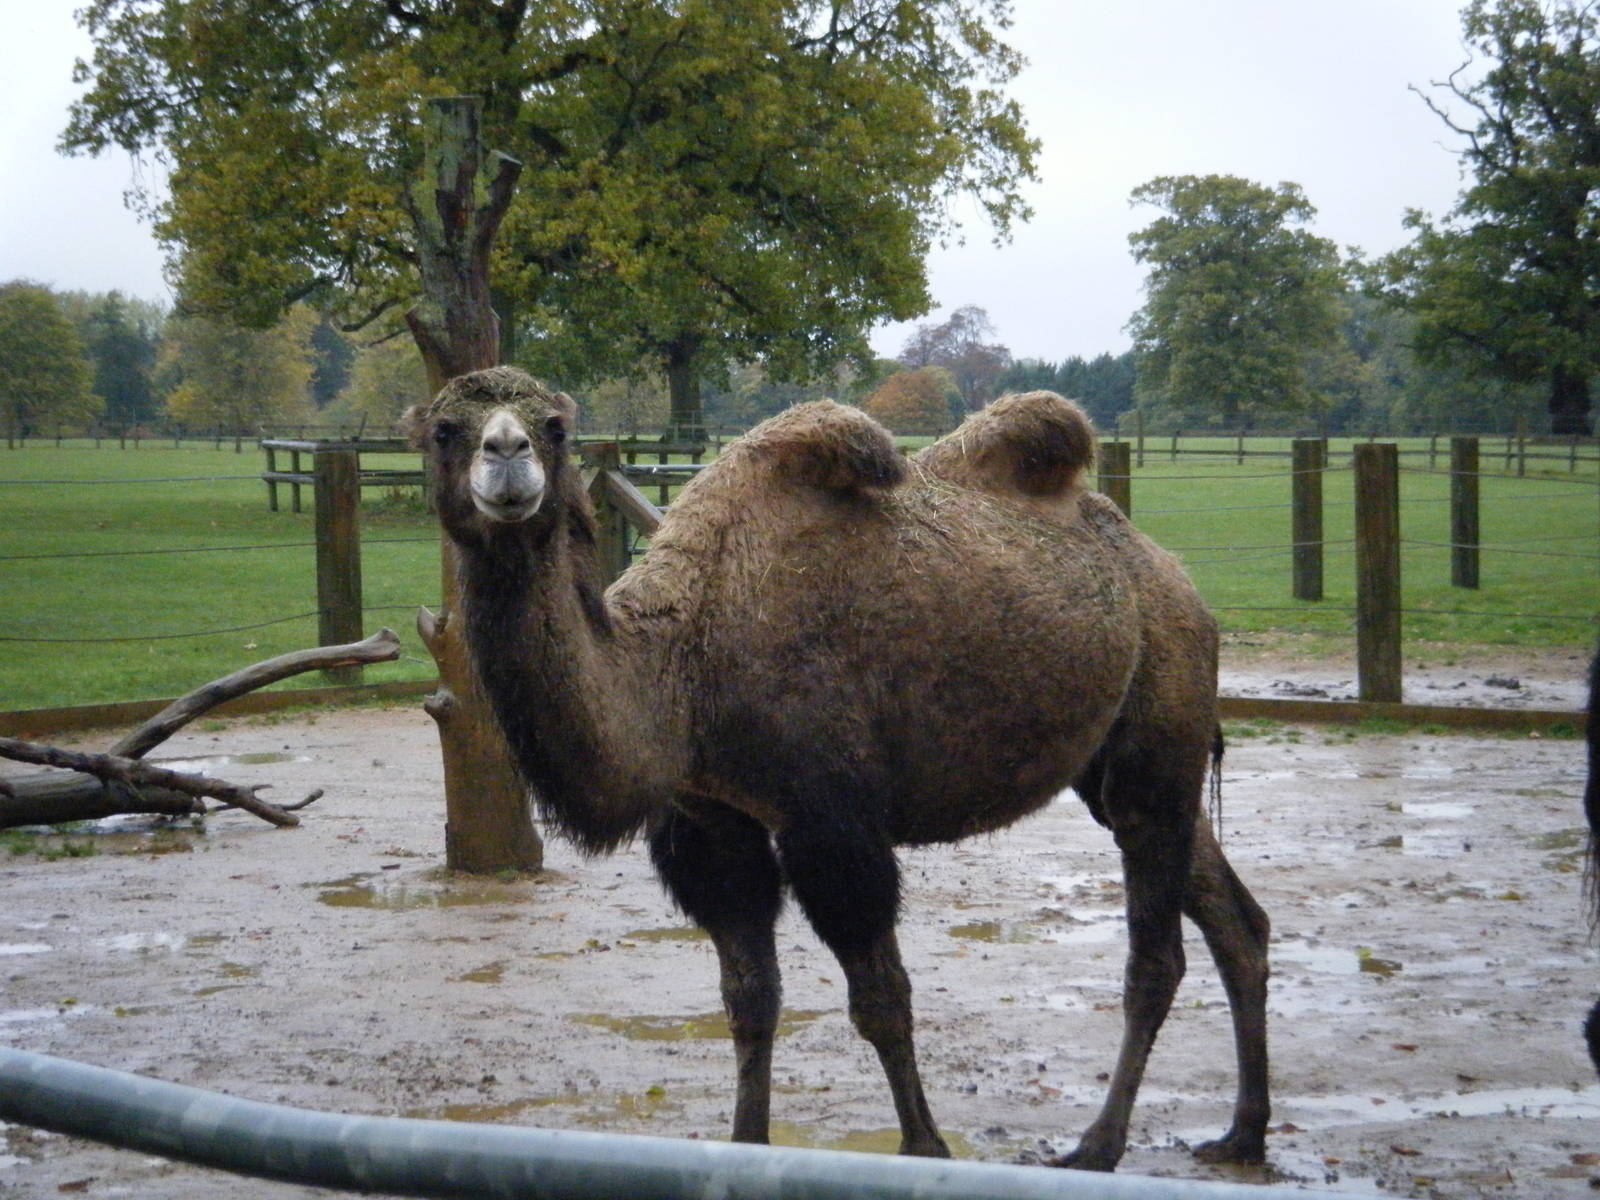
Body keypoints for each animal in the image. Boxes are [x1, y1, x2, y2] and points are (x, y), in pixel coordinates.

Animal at [406, 368, 1271, 1171]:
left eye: (554, 428)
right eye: (444, 431)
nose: (507, 456)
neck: (681, 672)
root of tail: (1174, 577)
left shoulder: (830, 819)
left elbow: (881, 999)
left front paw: (926, 1150)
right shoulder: (713, 822)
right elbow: (749, 999)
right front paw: (747, 1144)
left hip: (1158, 728)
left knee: (1157, 954)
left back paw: (1098, 1146)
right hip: (1117, 764)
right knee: (1236, 918)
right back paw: (1242, 1133)